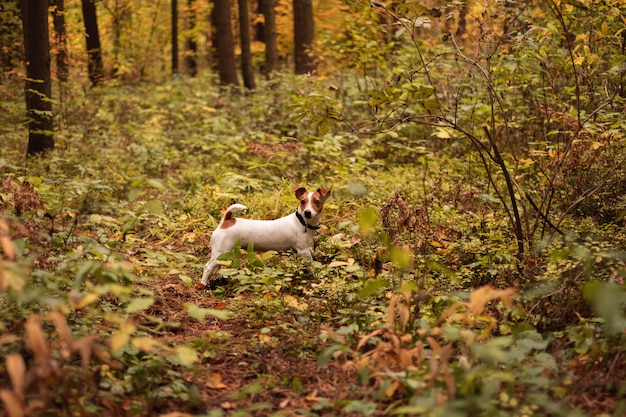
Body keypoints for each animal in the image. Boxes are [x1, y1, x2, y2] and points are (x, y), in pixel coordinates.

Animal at [200, 186, 330, 286]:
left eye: (316, 201)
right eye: (303, 201)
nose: (307, 212)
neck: (302, 222)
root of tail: (226, 221)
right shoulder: (304, 251)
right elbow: (312, 266)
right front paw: (316, 276)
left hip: (225, 253)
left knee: (217, 267)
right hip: (220, 252)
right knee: (208, 267)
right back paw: (203, 283)